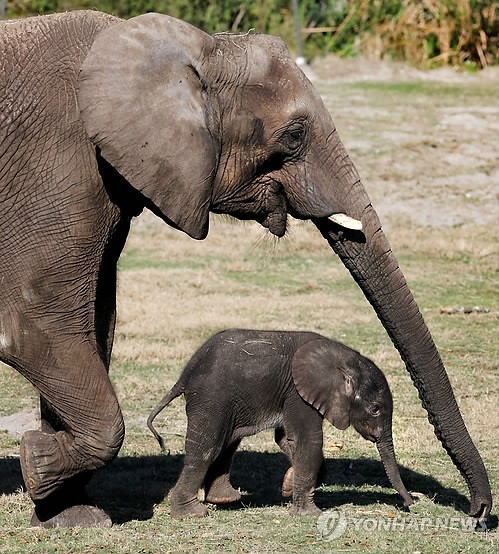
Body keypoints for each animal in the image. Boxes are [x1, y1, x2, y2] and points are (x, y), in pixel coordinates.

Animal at [148, 328, 414, 512]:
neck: (344, 358)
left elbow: (286, 439)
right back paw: (192, 513)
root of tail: (185, 374)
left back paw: (225, 499)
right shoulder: (297, 392)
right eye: (375, 409)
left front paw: (288, 485)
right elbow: (307, 440)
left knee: (227, 443)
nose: (410, 503)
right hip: (211, 398)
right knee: (207, 446)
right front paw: (310, 514)